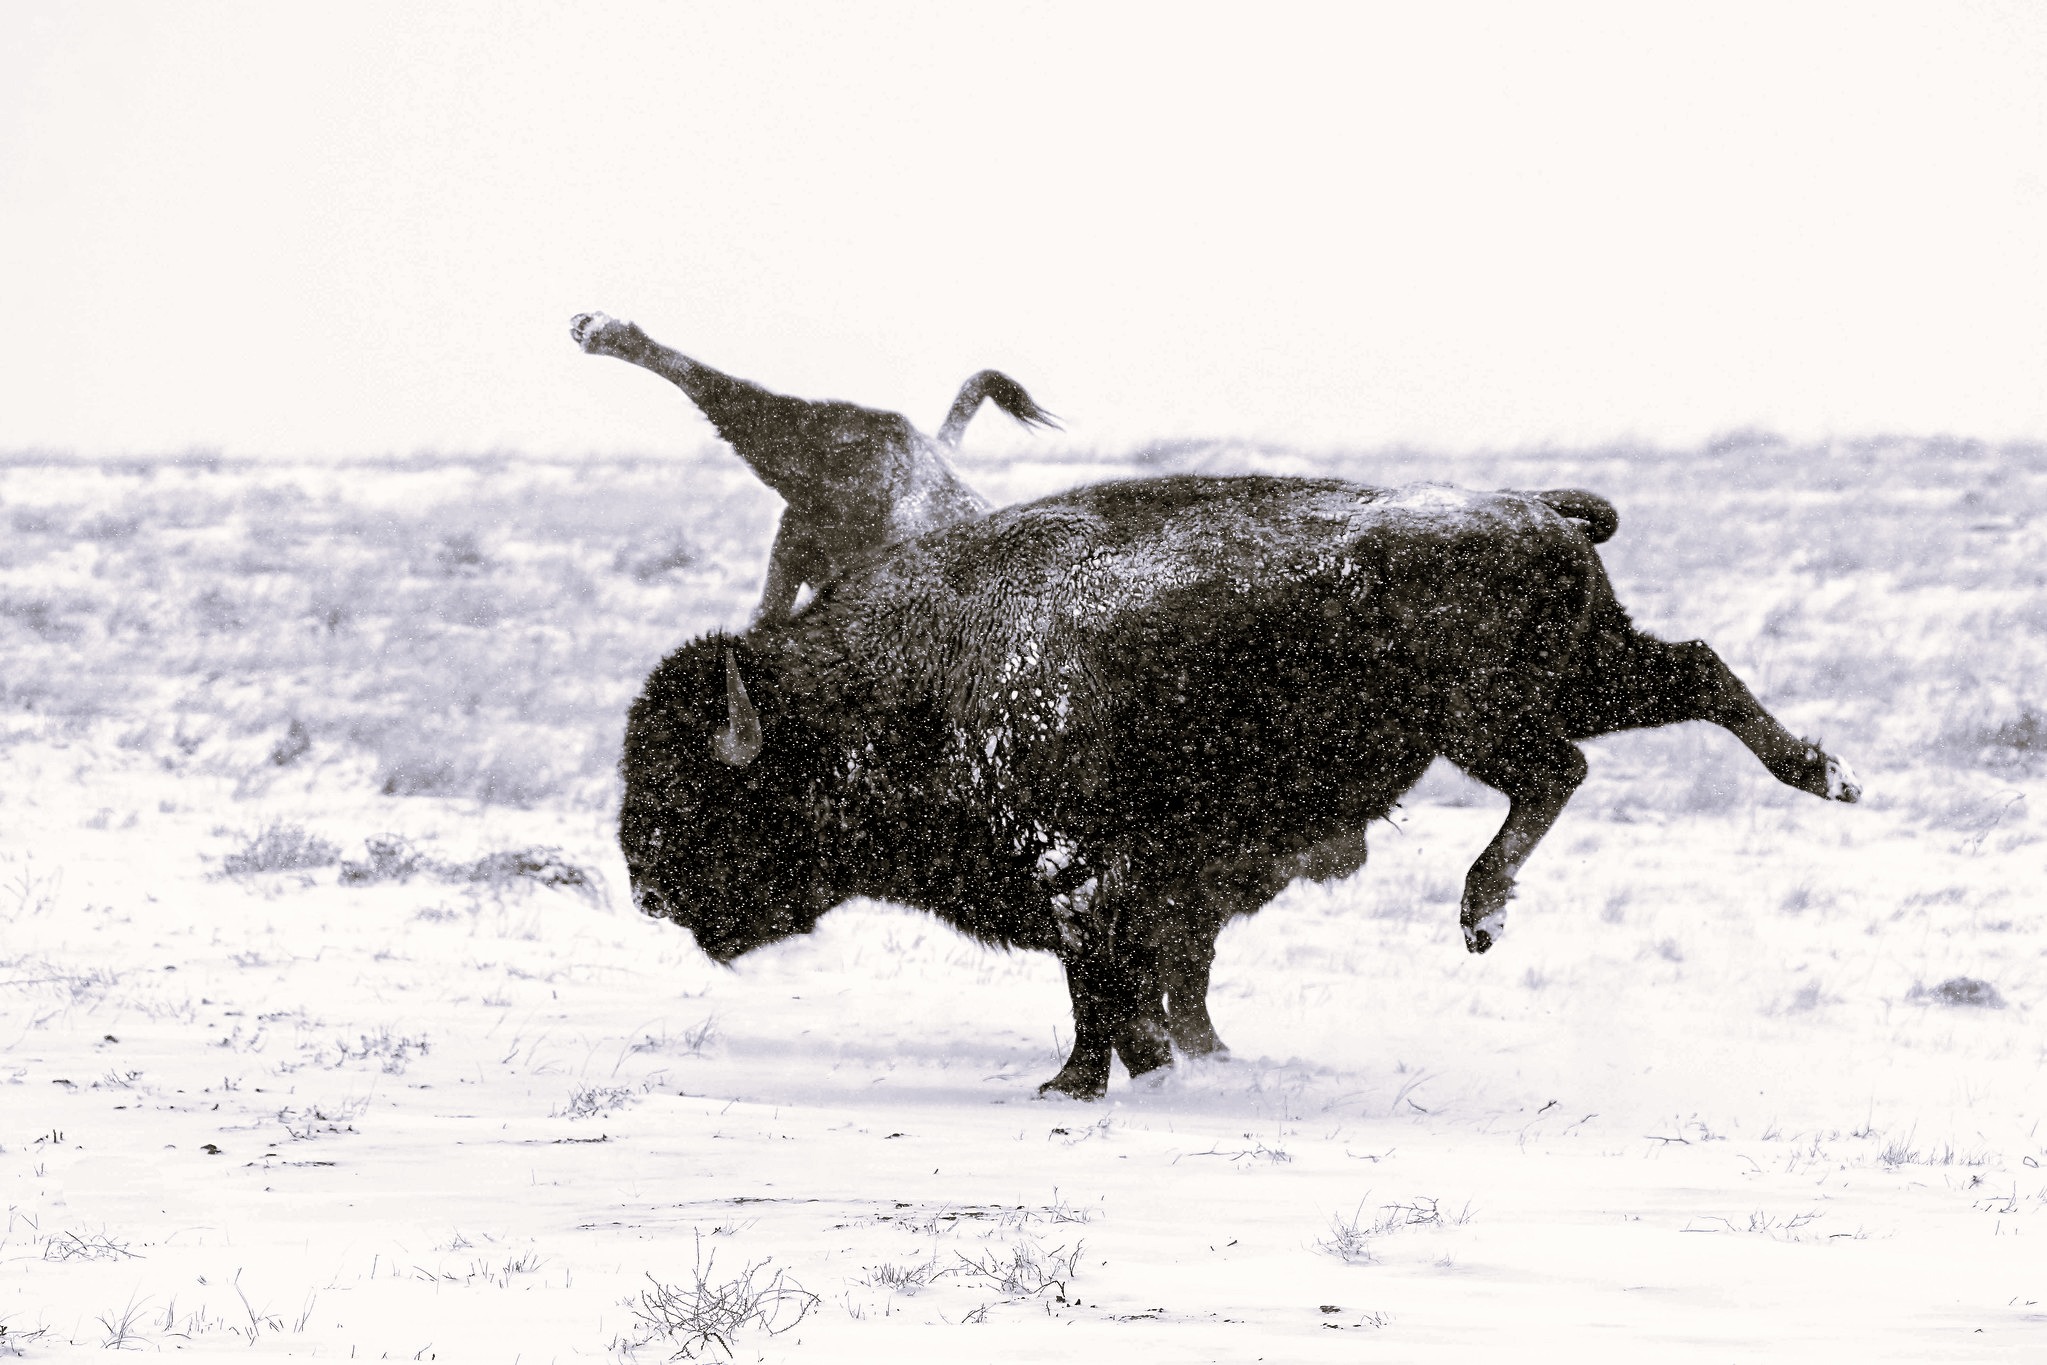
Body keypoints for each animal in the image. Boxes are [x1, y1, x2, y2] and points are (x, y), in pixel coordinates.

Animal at [619, 475, 1859, 1099]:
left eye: (694, 797)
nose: (643, 889)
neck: (888, 683)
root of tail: (1540, 507)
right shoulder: (1153, 890)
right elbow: (1160, 984)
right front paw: (1176, 1066)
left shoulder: (1081, 877)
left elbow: (1105, 989)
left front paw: (1076, 1086)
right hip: (1591, 674)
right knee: (1692, 672)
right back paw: (1826, 775)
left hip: (1491, 716)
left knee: (1562, 770)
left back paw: (1481, 912)